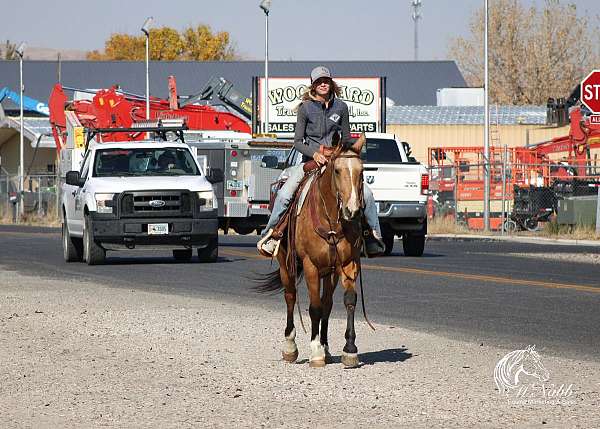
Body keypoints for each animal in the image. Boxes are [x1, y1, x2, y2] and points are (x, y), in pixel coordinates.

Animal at [255, 134, 368, 368]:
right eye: (337, 170)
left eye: (361, 171)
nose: (352, 211)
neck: (331, 218)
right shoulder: (310, 266)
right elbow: (314, 307)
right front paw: (316, 351)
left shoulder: (347, 264)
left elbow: (347, 301)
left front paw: (349, 349)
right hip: (285, 263)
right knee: (290, 296)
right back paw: (290, 347)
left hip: (330, 272)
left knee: (327, 303)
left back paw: (326, 347)